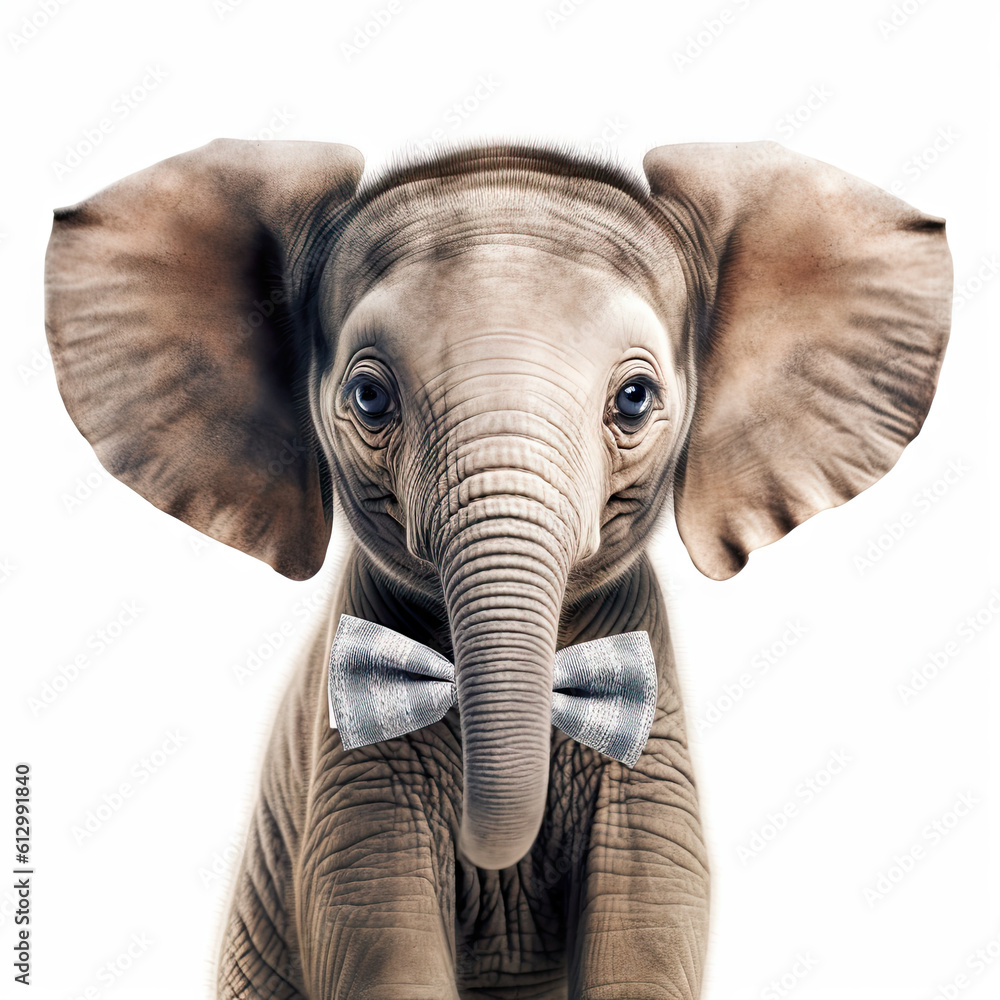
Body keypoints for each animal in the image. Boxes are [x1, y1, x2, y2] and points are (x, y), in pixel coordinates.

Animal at [44, 137, 952, 999]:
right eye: (370, 399)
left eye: (634, 401)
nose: (489, 863)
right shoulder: (350, 781)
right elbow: (381, 947)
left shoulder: (651, 766)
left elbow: (644, 940)